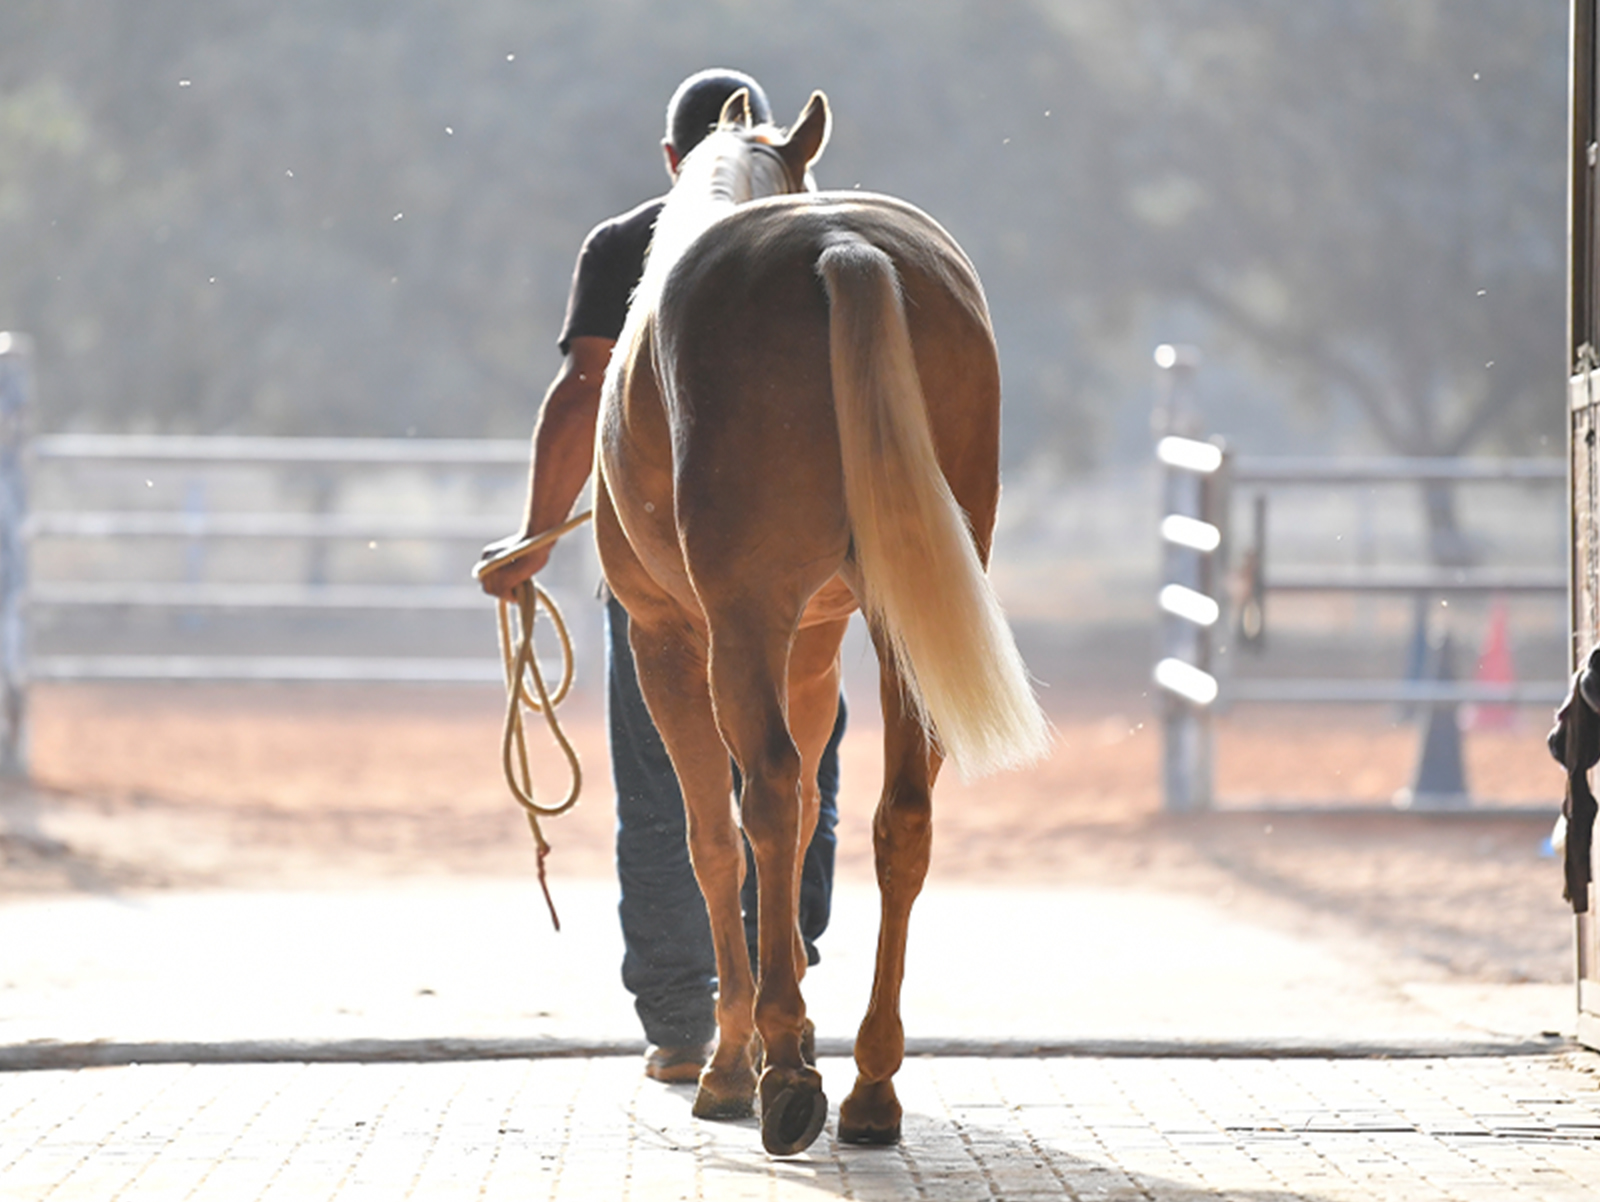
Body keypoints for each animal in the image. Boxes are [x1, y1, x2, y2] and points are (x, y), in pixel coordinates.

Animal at [594, 89, 1050, 1156]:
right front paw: (785, 1033)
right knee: (902, 817)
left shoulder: (671, 637)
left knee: (758, 798)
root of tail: (840, 244)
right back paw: (870, 1086)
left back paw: (782, 1078)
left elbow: (716, 838)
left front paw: (738, 1059)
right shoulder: (810, 648)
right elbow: (809, 821)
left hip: (737, 626)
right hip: (895, 630)